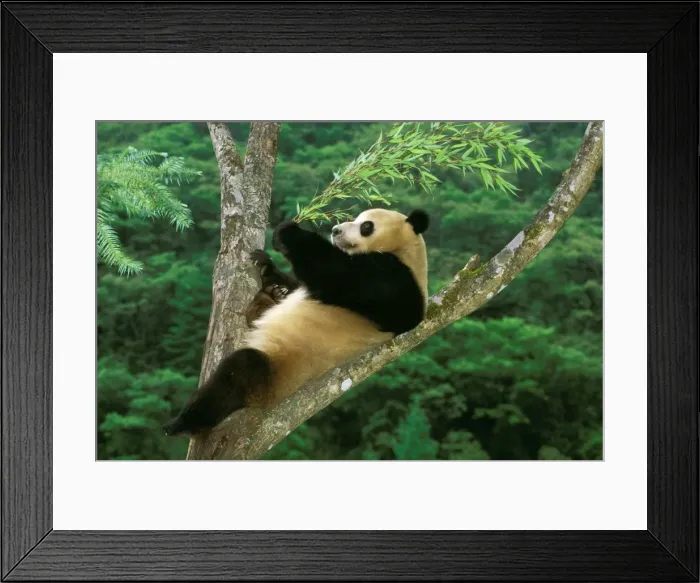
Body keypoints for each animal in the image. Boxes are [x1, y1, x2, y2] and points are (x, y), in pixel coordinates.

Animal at [163, 208, 430, 436]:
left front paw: (287, 232)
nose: (336, 230)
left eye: (366, 226)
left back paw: (183, 422)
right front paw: (268, 269)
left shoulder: (395, 283)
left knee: (238, 373)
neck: (406, 251)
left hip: (274, 376)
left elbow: (339, 274)